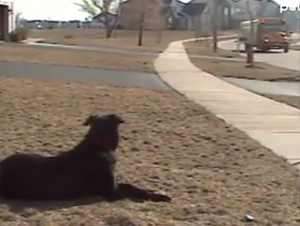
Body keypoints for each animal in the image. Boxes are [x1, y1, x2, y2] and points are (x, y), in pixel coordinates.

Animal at [0, 114, 171, 202]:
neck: (98, 144)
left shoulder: (114, 184)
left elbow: (131, 186)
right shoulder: (110, 192)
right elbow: (131, 191)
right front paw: (155, 196)